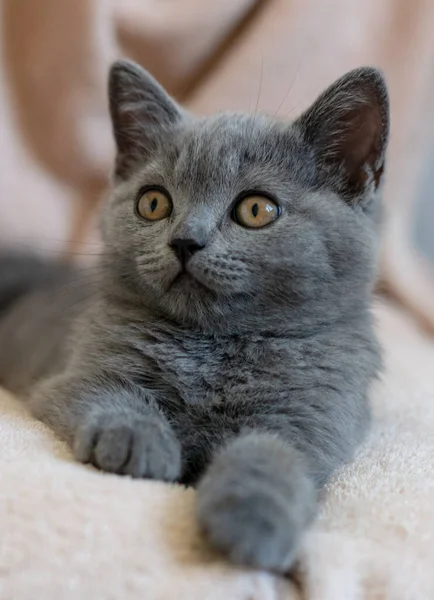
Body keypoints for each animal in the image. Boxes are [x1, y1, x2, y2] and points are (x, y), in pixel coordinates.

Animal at [0, 59, 388, 572]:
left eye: (256, 209)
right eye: (153, 202)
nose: (186, 241)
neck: (212, 346)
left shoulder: (314, 418)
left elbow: (271, 455)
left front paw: (253, 522)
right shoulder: (71, 375)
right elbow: (111, 393)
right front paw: (138, 443)